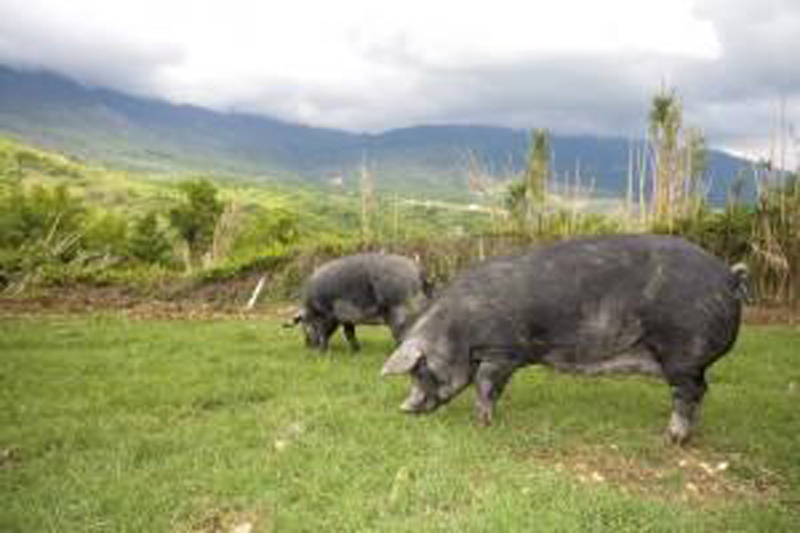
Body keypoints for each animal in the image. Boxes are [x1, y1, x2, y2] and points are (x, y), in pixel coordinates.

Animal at [287, 253, 432, 352]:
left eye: (303, 324)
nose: (307, 346)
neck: (312, 308)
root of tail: (418, 271)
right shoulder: (346, 319)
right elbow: (349, 333)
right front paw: (356, 350)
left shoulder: (327, 315)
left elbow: (324, 333)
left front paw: (322, 352)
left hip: (399, 309)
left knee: (403, 333)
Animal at [381, 235, 748, 445]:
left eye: (419, 370)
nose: (403, 409)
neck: (458, 331)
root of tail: (729, 276)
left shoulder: (505, 350)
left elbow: (487, 385)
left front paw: (482, 424)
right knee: (700, 391)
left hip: (684, 352)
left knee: (689, 392)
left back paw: (671, 439)